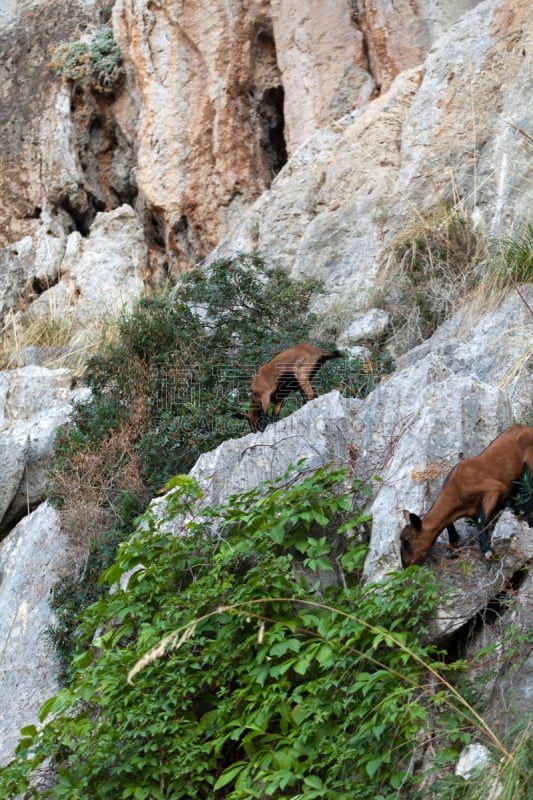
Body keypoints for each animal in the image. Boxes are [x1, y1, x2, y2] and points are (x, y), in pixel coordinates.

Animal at [400, 424, 532, 568]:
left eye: (408, 541)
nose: (406, 566)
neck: (456, 489)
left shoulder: (494, 489)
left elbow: (481, 517)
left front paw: (487, 550)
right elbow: (450, 523)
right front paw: (453, 548)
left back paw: (520, 509)